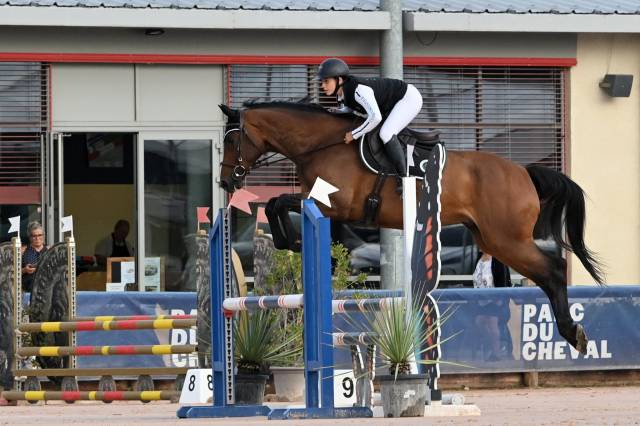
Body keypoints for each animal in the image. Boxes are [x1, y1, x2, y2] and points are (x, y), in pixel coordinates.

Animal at [217, 101, 604, 354]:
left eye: (232, 141)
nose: (225, 182)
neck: (322, 146)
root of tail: (523, 171)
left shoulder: (332, 204)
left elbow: (278, 202)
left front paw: (291, 241)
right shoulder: (325, 206)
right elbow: (276, 204)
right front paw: (291, 242)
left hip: (507, 240)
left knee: (554, 270)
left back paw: (574, 333)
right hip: (493, 239)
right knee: (547, 274)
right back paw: (573, 334)